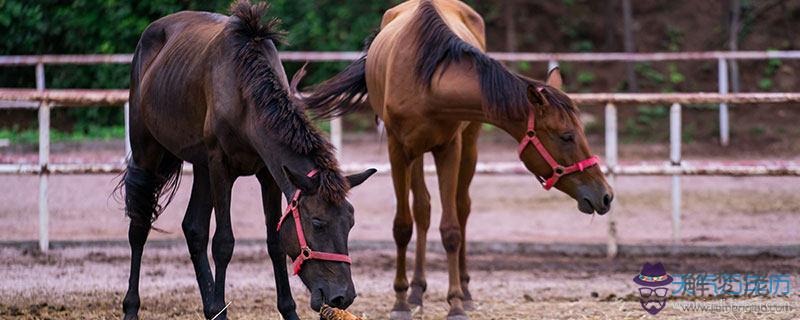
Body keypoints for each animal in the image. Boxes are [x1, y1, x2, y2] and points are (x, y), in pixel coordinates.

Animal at [121, 1, 376, 318]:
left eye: (350, 223)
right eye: (318, 223)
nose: (342, 296)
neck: (244, 93)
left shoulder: (269, 173)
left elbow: (275, 242)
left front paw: (287, 310)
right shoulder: (220, 166)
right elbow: (223, 243)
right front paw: (221, 305)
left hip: (201, 166)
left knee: (193, 229)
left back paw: (210, 309)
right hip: (148, 152)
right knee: (139, 225)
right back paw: (133, 306)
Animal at [304, 1, 612, 318]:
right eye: (567, 136)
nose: (605, 195)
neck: (425, 83)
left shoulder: (449, 148)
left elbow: (451, 229)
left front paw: (455, 302)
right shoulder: (398, 149)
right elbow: (403, 226)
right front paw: (400, 301)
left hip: (469, 145)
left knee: (462, 209)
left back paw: (464, 290)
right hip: (415, 154)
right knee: (422, 210)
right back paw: (416, 291)